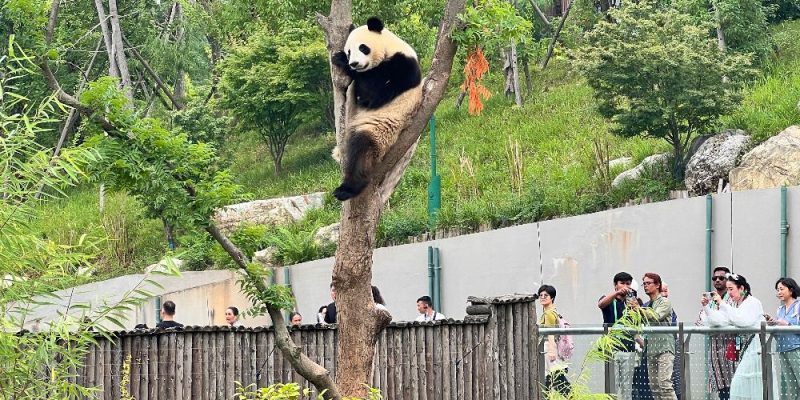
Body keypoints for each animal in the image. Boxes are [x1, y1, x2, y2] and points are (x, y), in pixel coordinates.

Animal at [330, 17, 423, 201]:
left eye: (362, 47)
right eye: (349, 51)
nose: (354, 63)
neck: (390, 48)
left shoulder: (402, 66)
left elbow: (372, 93)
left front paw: (340, 60)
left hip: (381, 128)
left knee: (362, 150)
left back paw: (346, 189)